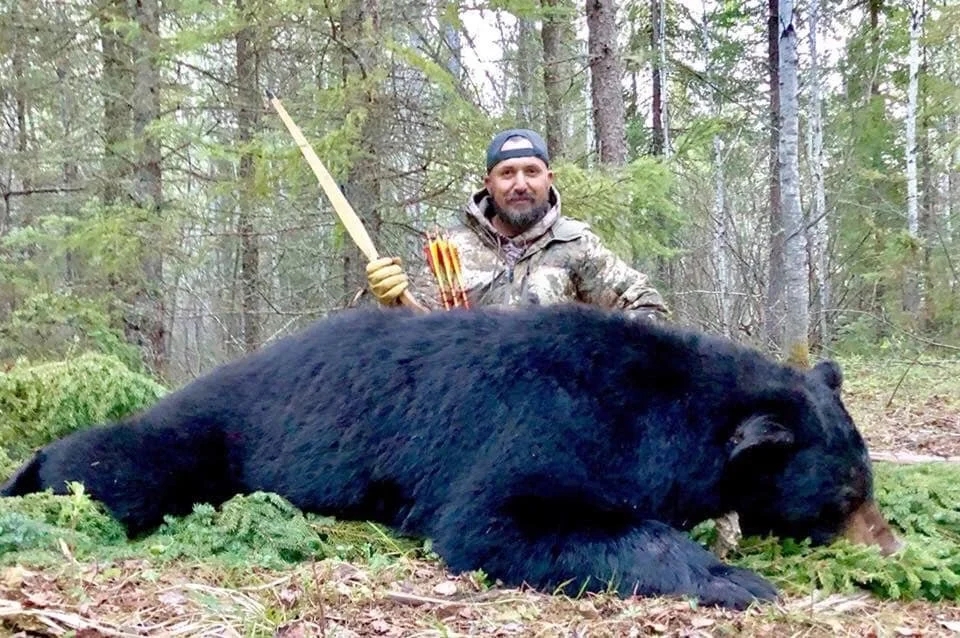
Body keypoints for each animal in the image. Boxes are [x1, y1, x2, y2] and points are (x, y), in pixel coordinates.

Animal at [1, 303, 900, 609]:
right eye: (846, 492)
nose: (889, 543)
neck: (650, 408)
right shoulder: (534, 425)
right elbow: (501, 520)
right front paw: (733, 578)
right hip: (210, 434)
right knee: (114, 465)